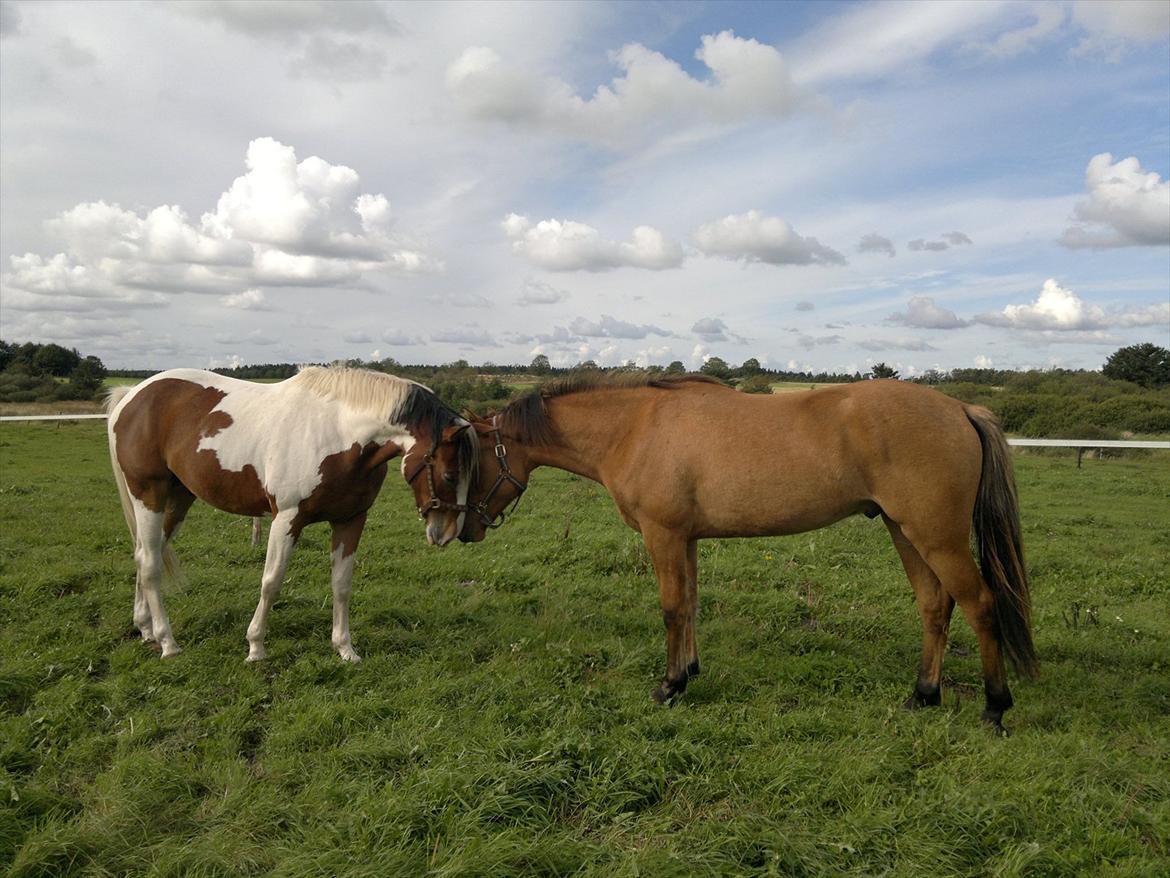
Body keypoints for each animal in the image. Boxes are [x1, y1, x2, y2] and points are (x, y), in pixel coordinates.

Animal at [105, 366, 476, 663]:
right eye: (449, 475)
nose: (447, 532)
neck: (338, 432)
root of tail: (132, 397)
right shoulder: (286, 519)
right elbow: (271, 582)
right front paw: (256, 647)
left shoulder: (351, 520)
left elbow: (342, 584)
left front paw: (345, 649)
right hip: (148, 495)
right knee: (150, 563)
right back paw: (168, 642)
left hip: (179, 498)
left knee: (147, 554)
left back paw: (146, 628)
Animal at [459, 374, 1037, 734]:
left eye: (465, 457)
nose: (460, 529)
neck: (636, 427)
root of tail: (959, 408)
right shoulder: (686, 538)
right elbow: (691, 604)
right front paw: (689, 671)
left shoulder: (662, 535)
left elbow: (671, 609)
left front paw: (669, 686)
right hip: (905, 531)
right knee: (934, 607)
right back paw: (923, 694)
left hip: (936, 537)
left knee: (981, 607)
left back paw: (994, 708)